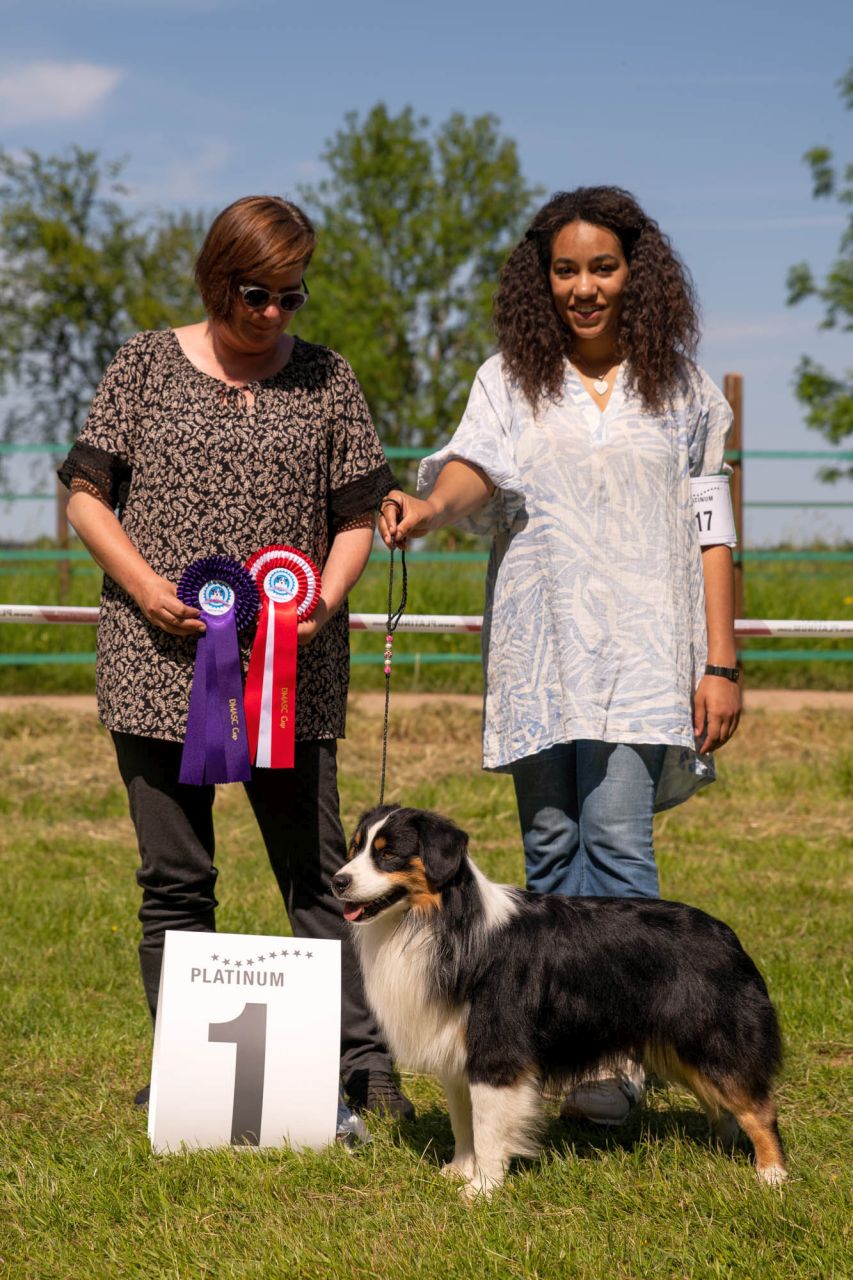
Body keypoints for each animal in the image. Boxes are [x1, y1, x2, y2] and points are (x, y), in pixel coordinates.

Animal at [333, 803, 783, 1192]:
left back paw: (771, 1174)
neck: (439, 921)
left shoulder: (497, 1052)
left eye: (388, 854)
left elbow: (488, 1129)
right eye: (355, 849)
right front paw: (459, 1171)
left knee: (756, 1106)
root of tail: (727, 935)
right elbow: (463, 1122)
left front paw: (482, 1190)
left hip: (713, 1036)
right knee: (722, 1104)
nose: (338, 881)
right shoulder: (456, 1055)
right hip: (682, 1047)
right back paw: (721, 1150)